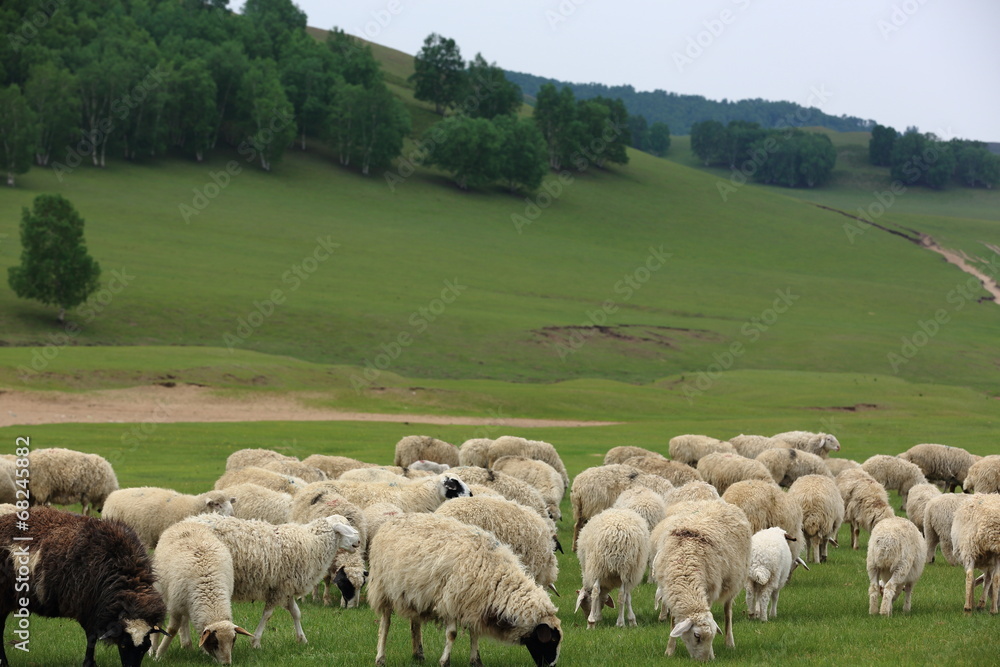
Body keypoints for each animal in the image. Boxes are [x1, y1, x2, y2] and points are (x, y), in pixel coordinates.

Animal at [0, 507, 167, 667]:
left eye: (146, 647)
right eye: (123, 645)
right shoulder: (88, 608)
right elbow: (91, 638)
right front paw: (89, 663)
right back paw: (4, 662)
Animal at [152, 519, 253, 663]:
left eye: (233, 641)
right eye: (215, 642)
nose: (226, 664)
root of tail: (183, 523)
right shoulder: (175, 607)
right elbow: (172, 630)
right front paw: (158, 655)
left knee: (185, 621)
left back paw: (187, 646)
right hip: (162, 590)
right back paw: (153, 649)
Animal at [191, 513, 359, 647]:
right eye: (344, 529)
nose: (358, 542)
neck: (312, 544)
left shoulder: (287, 586)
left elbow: (296, 613)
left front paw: (302, 639)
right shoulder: (279, 588)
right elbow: (267, 615)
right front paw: (256, 642)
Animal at [368, 513, 562, 667]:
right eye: (551, 640)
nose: (551, 666)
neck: (497, 577)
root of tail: (393, 520)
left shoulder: (475, 605)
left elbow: (474, 633)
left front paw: (476, 661)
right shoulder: (451, 601)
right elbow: (452, 634)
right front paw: (444, 661)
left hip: (414, 594)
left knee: (415, 623)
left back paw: (418, 654)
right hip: (383, 589)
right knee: (385, 624)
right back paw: (380, 658)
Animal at [652, 500, 752, 661]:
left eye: (711, 637)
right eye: (697, 636)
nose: (706, 661)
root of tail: (719, 502)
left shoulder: (710, 590)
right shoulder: (670, 592)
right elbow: (673, 622)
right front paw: (670, 650)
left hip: (734, 581)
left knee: (728, 613)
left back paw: (729, 642)